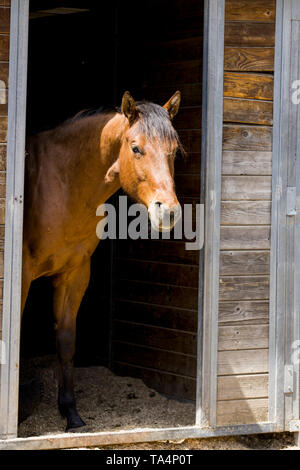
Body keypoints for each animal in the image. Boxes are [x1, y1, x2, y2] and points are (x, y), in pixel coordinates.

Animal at [21, 90, 183, 432]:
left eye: (174, 151)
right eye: (136, 148)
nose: (169, 212)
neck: (63, 183)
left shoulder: (75, 274)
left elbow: (66, 340)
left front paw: (70, 412)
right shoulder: (23, 274)